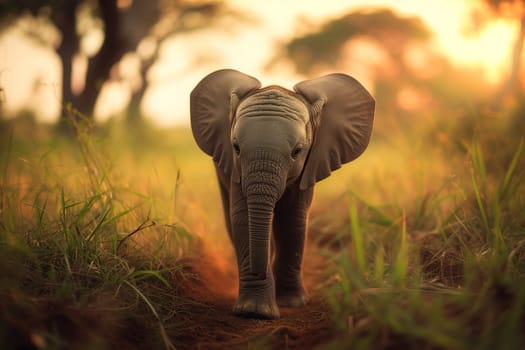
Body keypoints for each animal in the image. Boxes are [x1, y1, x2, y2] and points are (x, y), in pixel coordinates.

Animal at [190, 69, 374, 320]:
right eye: (236, 147)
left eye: (297, 151)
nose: (258, 272)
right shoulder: (236, 168)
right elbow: (243, 218)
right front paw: (254, 312)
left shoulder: (309, 167)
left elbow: (292, 219)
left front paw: (291, 304)